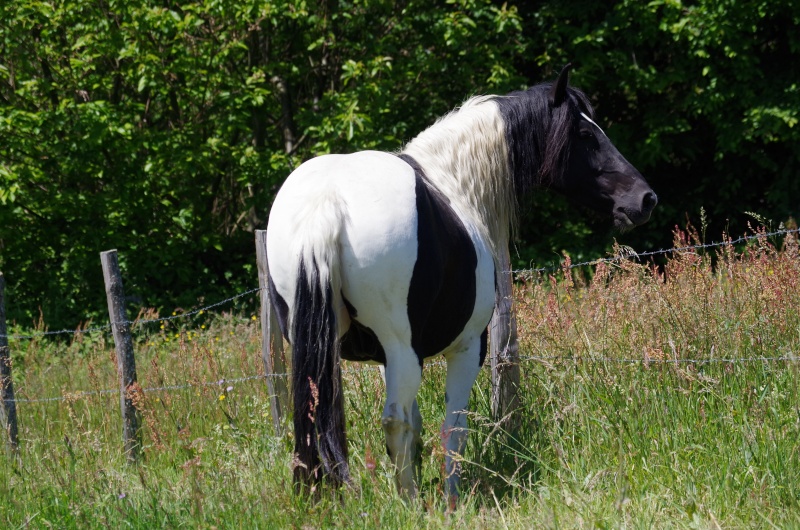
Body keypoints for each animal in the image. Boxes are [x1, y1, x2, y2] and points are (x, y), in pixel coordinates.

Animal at [266, 66, 660, 500]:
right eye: (586, 134)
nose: (645, 199)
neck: (455, 182)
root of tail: (328, 201)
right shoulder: (467, 348)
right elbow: (452, 426)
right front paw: (451, 498)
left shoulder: (390, 359)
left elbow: (418, 426)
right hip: (401, 348)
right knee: (393, 421)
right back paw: (409, 503)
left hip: (330, 351)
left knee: (319, 420)